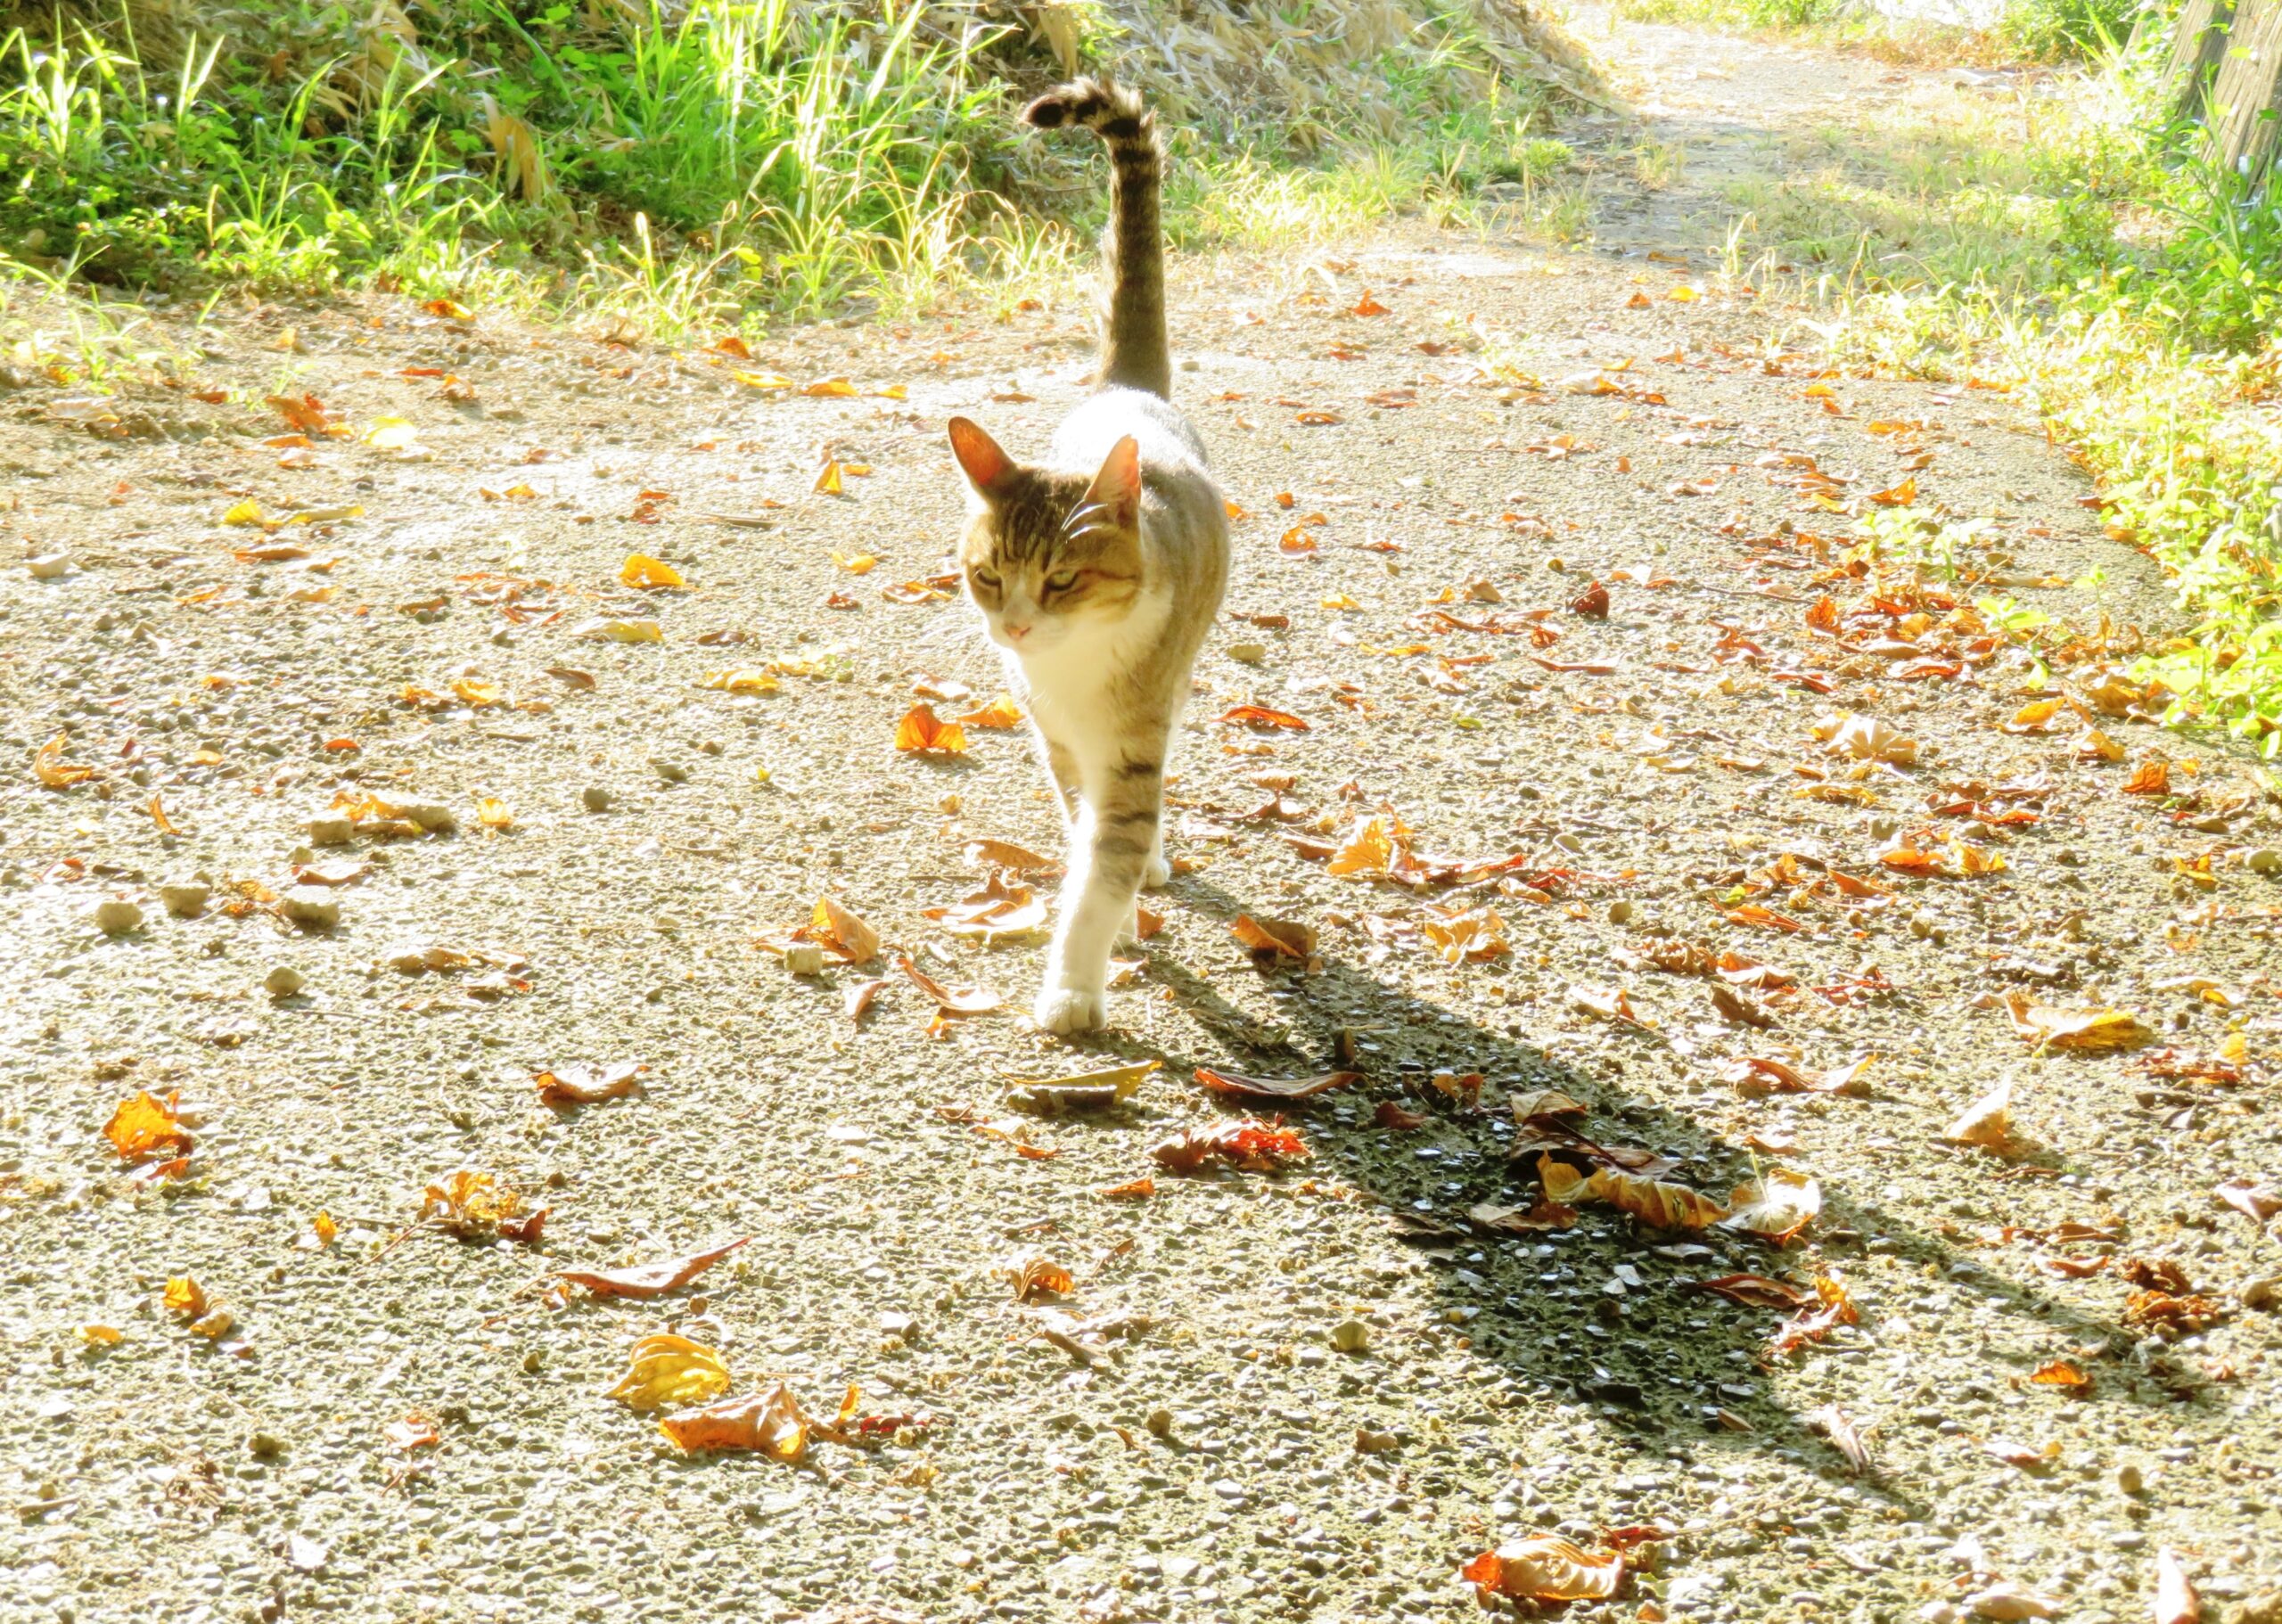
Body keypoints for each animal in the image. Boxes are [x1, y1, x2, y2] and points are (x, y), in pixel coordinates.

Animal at [944, 76, 1232, 1035]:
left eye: (1063, 578)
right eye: (988, 575)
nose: (1016, 628)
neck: (1073, 669)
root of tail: (1125, 389)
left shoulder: (1131, 741)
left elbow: (1104, 866)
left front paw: (1073, 985)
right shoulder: (1058, 741)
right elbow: (1083, 834)